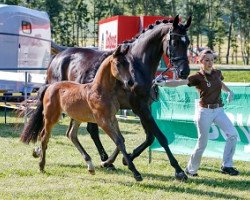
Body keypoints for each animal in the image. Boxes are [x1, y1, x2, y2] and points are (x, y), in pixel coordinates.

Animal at [20, 45, 146, 181]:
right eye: (118, 64)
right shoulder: (103, 121)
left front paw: (106, 163)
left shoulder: (112, 118)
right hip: (51, 117)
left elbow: (121, 139)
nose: (130, 82)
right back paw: (41, 166)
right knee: (44, 137)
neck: (101, 90)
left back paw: (90, 166)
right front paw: (135, 173)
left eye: (128, 64)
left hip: (77, 117)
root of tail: (50, 86)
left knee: (71, 135)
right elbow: (118, 141)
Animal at [44, 15, 191, 180]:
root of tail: (58, 55)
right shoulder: (139, 107)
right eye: (175, 42)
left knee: (90, 130)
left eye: (188, 42)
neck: (138, 65)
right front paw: (178, 170)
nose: (184, 72)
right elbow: (159, 137)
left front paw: (125, 159)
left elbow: (149, 137)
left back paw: (105, 160)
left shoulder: (143, 107)